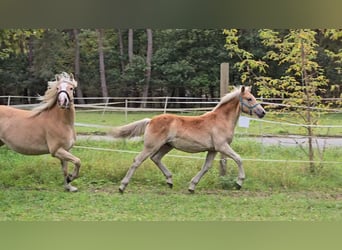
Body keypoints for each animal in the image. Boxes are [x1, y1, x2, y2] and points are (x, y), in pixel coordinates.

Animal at [111, 86, 266, 193]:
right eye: (249, 98)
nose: (263, 112)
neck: (220, 120)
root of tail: (150, 120)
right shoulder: (222, 146)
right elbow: (239, 159)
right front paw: (239, 183)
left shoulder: (213, 149)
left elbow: (206, 167)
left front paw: (192, 187)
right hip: (151, 146)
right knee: (137, 161)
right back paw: (122, 187)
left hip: (167, 146)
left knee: (156, 158)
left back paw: (170, 181)